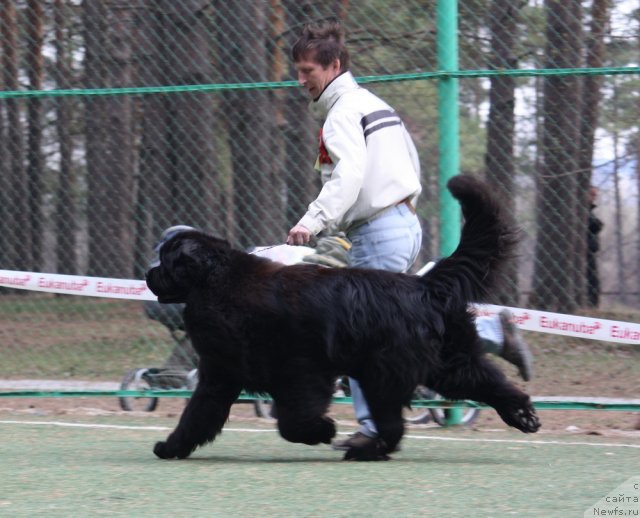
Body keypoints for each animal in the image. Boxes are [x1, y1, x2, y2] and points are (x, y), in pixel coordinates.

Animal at [145, 176, 540, 464]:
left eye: (166, 261)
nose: (148, 275)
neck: (218, 283)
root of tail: (424, 284)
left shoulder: (301, 369)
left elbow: (292, 419)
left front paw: (323, 430)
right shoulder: (220, 373)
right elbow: (197, 415)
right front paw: (171, 446)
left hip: (387, 372)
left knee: (394, 422)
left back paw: (364, 449)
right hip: (441, 363)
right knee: (488, 383)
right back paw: (522, 416)